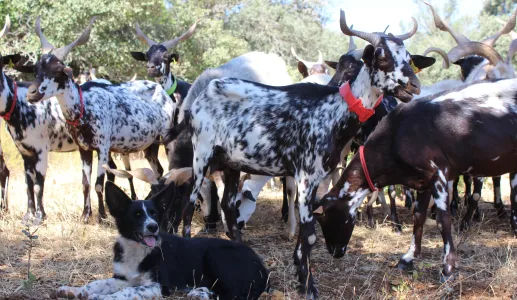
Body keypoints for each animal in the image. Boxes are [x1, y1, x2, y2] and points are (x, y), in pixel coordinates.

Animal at [21, 17, 174, 223]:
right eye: (36, 68)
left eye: (58, 69)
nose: (32, 93)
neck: (85, 107)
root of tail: (163, 93)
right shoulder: (84, 149)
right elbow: (85, 183)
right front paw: (85, 215)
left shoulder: (102, 147)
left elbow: (99, 183)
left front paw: (101, 215)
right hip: (150, 145)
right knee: (158, 171)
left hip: (166, 137)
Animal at [56, 180, 268, 300]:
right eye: (137, 215)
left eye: (154, 214)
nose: (153, 227)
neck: (138, 250)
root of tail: (263, 267)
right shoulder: (125, 278)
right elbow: (99, 283)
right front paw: (74, 290)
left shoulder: (159, 286)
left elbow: (127, 293)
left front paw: (102, 298)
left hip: (216, 255)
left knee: (236, 294)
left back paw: (201, 293)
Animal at [169, 10, 424, 296]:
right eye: (381, 56)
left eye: (408, 57)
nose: (414, 87)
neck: (332, 111)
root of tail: (199, 99)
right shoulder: (305, 175)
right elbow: (310, 234)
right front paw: (309, 286)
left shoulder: (316, 178)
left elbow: (306, 232)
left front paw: (302, 278)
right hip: (201, 155)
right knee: (189, 205)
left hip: (231, 164)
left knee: (229, 209)